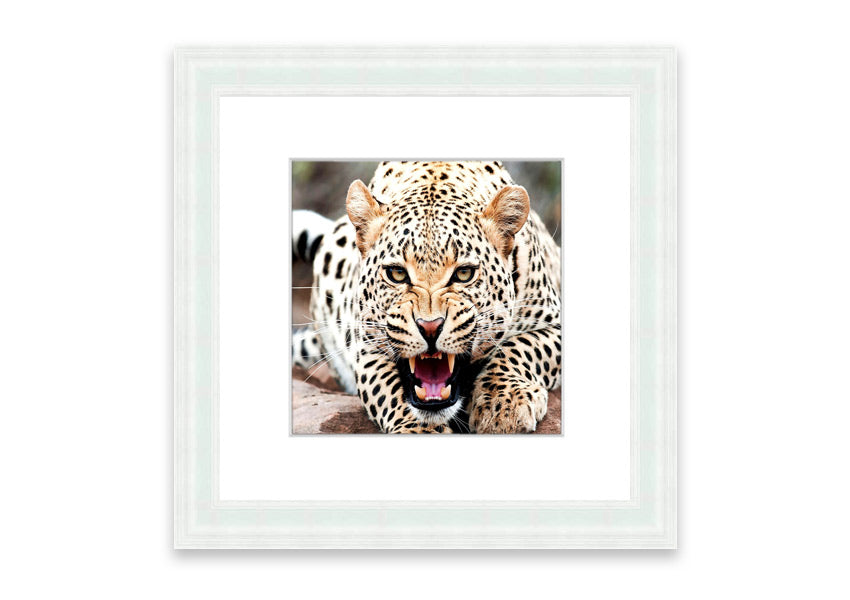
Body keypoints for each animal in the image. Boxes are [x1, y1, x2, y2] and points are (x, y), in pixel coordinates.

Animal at [292, 161, 561, 433]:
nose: (430, 328)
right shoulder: (367, 347)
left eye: (464, 273)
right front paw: (418, 429)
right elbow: (388, 390)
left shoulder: (554, 323)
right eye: (397, 274)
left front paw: (502, 404)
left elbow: (519, 348)